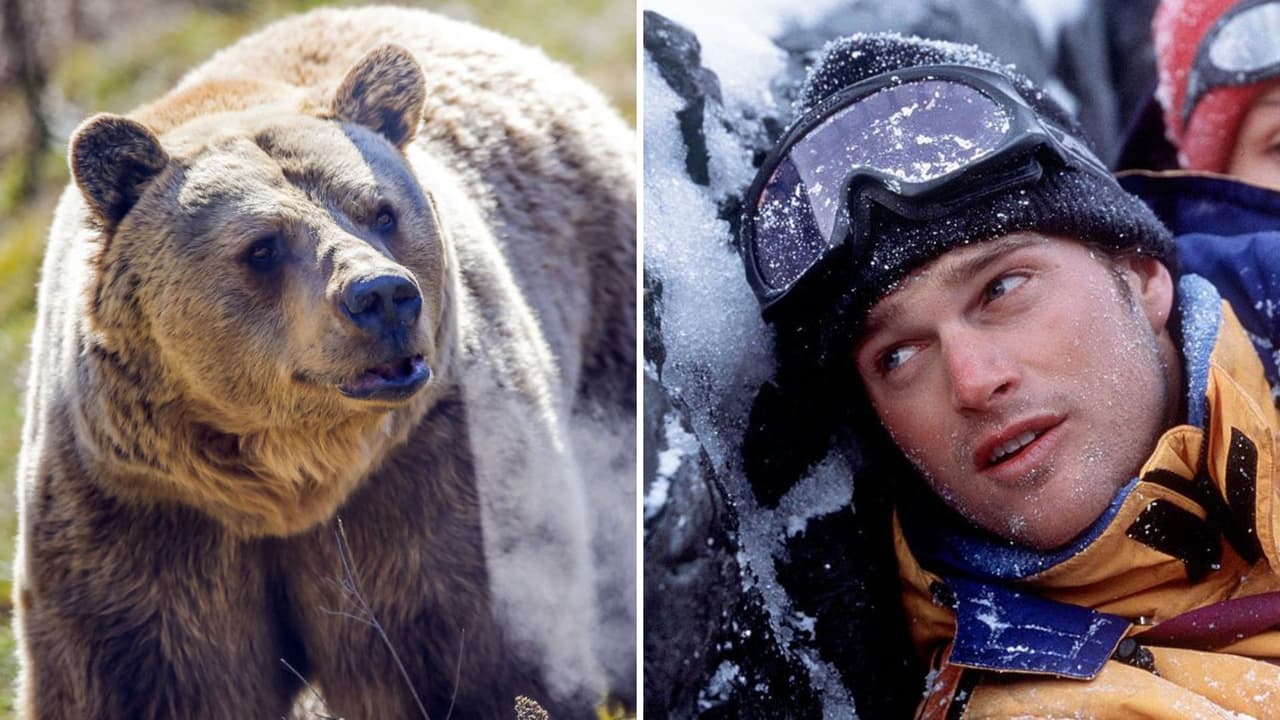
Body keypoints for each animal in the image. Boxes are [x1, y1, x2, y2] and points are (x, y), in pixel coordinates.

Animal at [11, 6, 635, 719]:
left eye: (382, 212)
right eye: (261, 246)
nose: (383, 296)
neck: (288, 478)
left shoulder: (427, 471)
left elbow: (476, 654)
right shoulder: (138, 510)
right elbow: (144, 677)